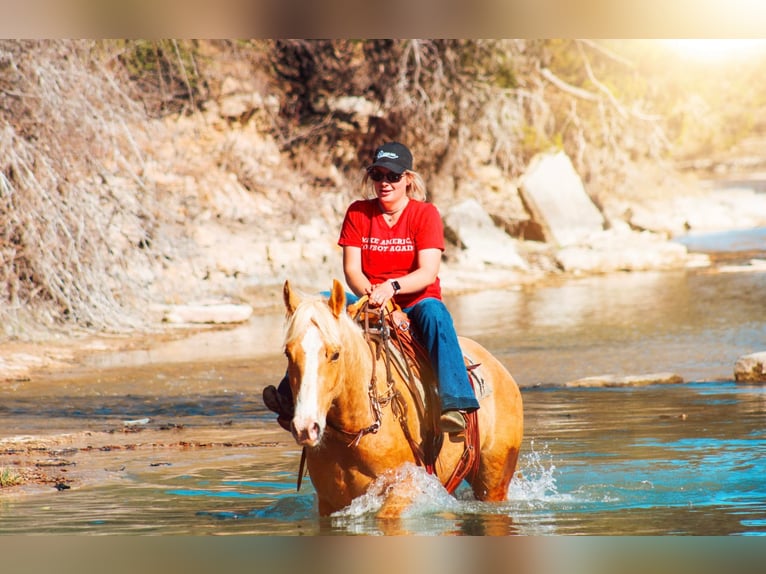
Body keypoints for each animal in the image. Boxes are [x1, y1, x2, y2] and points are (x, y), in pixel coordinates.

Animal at [284, 280, 528, 516]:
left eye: (335, 354)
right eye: (288, 353)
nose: (306, 428)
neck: (356, 432)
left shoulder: (406, 484)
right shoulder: (328, 502)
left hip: (494, 481)